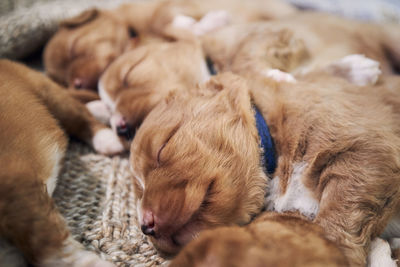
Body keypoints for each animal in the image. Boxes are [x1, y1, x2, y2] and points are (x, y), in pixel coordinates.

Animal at [0, 59, 123, 266]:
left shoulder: (15, 187)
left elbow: (45, 245)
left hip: (49, 94)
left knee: (79, 116)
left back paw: (107, 138)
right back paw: (100, 110)